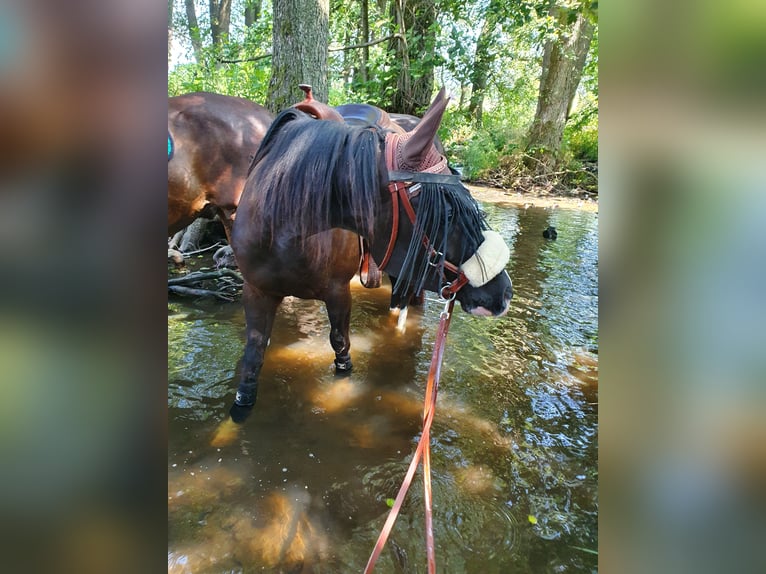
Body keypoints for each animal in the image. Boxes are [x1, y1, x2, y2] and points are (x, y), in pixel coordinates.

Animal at [231, 86, 512, 410]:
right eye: (449, 212)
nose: (504, 293)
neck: (282, 227)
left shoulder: (338, 292)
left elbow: (341, 349)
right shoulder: (257, 292)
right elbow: (252, 359)